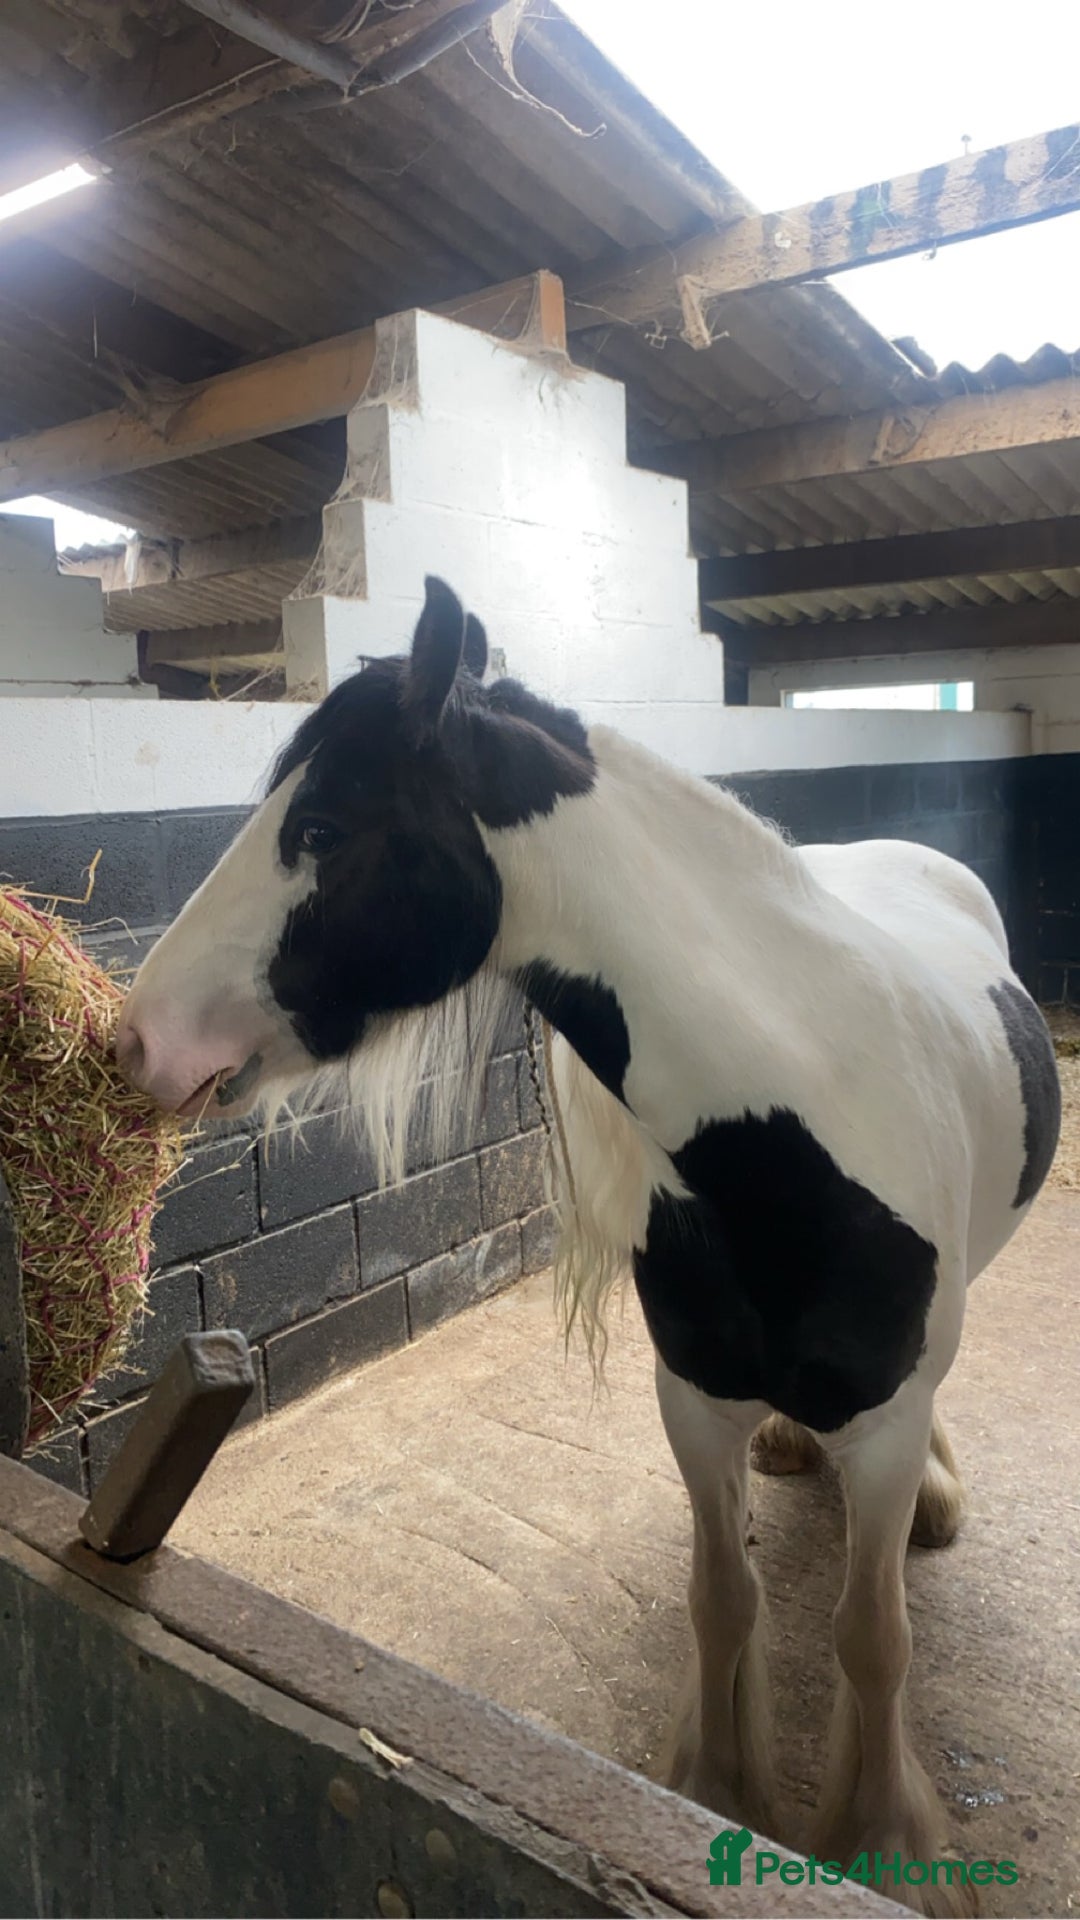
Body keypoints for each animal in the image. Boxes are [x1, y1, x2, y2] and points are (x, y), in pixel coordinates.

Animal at [117, 576, 1060, 1914]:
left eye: (324, 827)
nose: (136, 1040)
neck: (794, 1134)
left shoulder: (877, 1428)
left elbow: (873, 1639)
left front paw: (889, 1845)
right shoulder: (692, 1403)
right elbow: (723, 1600)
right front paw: (720, 1791)